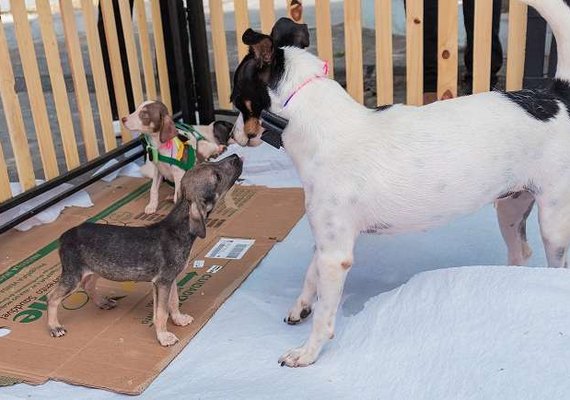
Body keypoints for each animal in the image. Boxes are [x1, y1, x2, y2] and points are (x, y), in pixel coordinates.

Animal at [229, 0, 568, 368]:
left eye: (235, 99)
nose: (230, 134)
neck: (320, 125)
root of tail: (555, 97)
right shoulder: (327, 241)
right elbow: (310, 274)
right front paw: (301, 305)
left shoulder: (336, 255)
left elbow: (324, 313)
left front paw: (307, 351)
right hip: (510, 207)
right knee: (521, 252)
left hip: (554, 223)